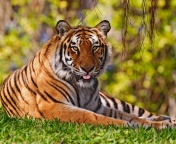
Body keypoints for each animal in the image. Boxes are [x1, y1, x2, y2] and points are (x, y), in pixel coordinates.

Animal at [0, 19, 175, 129]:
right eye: (75, 48)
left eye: (94, 47)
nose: (87, 68)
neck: (83, 87)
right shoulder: (53, 105)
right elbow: (91, 116)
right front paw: (123, 125)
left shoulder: (98, 106)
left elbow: (131, 116)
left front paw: (160, 125)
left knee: (143, 113)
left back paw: (167, 119)